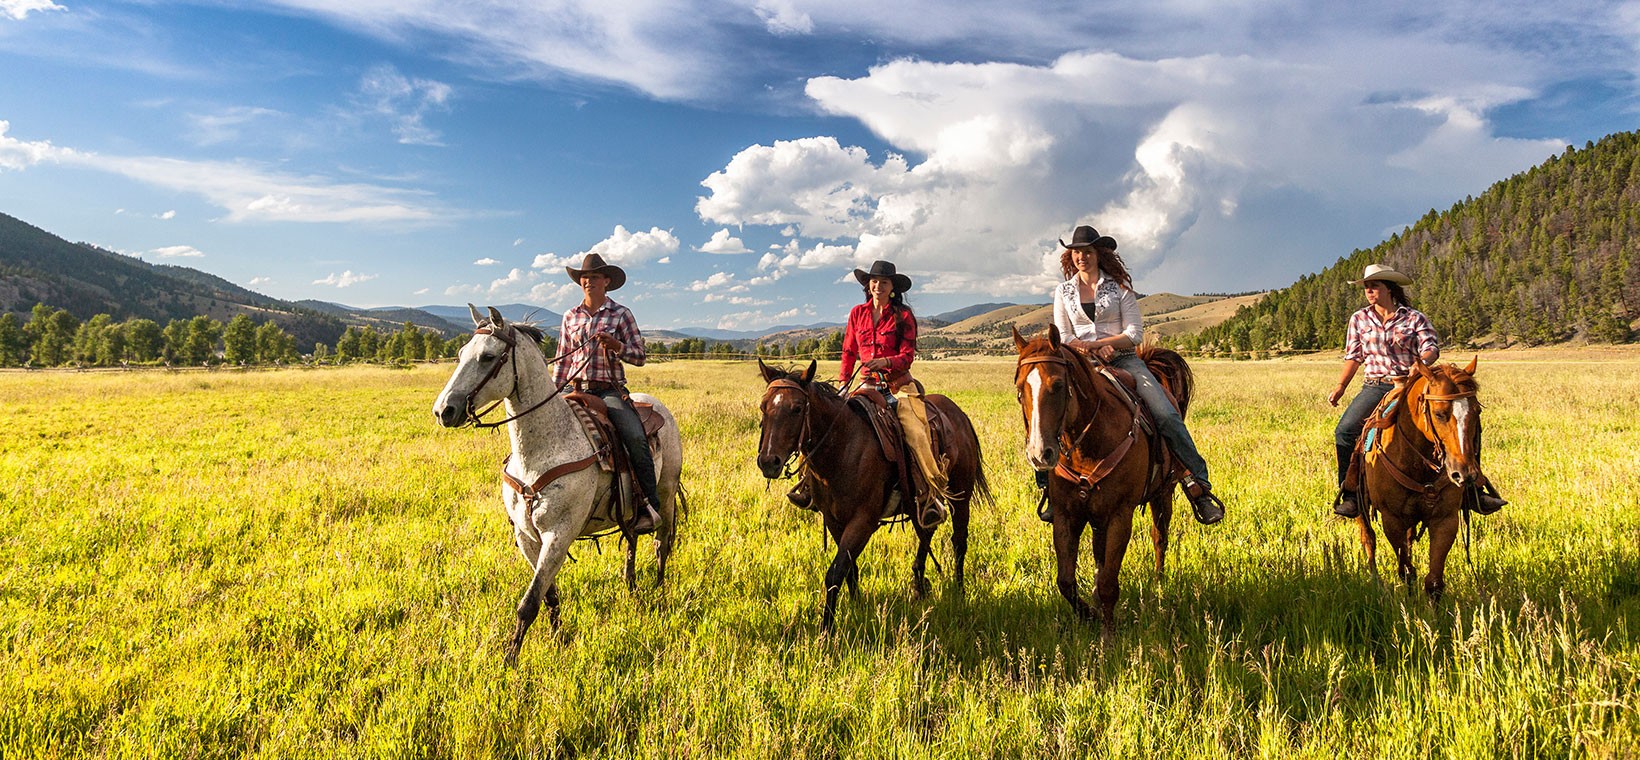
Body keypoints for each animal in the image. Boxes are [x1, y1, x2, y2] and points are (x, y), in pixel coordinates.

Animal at [432, 306, 682, 663]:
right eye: (461, 353)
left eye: (488, 357)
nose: (443, 411)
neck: (541, 450)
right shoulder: (527, 536)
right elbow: (547, 595)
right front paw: (558, 639)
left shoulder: (558, 534)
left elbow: (528, 602)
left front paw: (510, 661)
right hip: (630, 507)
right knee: (632, 537)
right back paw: (630, 586)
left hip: (666, 490)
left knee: (662, 542)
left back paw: (658, 593)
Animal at [751, 361, 984, 630]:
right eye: (763, 406)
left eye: (797, 408)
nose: (769, 461)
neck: (843, 447)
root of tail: (959, 414)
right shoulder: (834, 520)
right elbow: (849, 568)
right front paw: (857, 606)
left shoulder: (863, 521)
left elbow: (835, 572)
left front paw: (827, 630)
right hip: (920, 503)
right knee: (926, 530)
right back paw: (918, 586)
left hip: (961, 496)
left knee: (959, 541)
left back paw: (959, 591)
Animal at [1010, 325, 1193, 640]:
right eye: (1021, 389)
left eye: (1058, 385)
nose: (1039, 453)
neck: (1088, 444)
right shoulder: (1066, 515)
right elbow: (1066, 581)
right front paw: (1089, 615)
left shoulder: (1120, 515)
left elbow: (1109, 582)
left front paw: (1108, 637)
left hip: (1163, 494)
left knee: (1160, 538)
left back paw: (1159, 587)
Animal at [1357, 357, 1489, 600]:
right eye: (1439, 414)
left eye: (1476, 411)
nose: (1465, 474)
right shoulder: (1392, 519)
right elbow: (1406, 570)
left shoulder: (1445, 519)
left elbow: (1434, 581)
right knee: (1368, 539)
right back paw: (1375, 582)